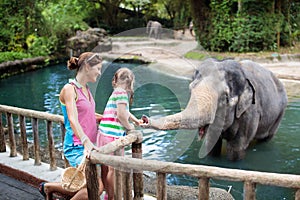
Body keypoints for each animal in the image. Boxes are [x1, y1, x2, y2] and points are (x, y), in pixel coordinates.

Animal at [146, 58, 288, 161]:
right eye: (191, 89)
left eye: (224, 97)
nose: (144, 119)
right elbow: (211, 144)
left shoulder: (250, 113)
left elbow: (236, 148)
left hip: (279, 113)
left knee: (266, 138)